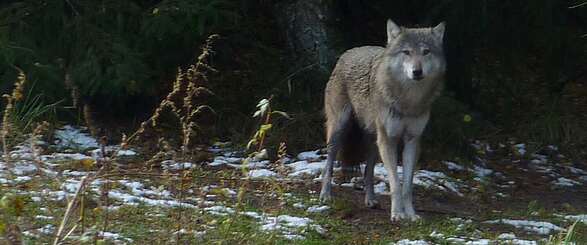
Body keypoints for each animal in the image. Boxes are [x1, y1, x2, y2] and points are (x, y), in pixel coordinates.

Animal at [322, 19, 446, 222]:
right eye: (407, 52)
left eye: (426, 51)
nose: (417, 72)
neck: (409, 101)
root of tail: (348, 52)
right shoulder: (389, 139)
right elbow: (395, 183)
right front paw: (397, 214)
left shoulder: (412, 140)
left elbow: (407, 186)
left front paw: (411, 214)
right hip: (339, 131)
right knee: (329, 164)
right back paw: (325, 195)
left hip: (374, 141)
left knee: (368, 171)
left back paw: (371, 200)